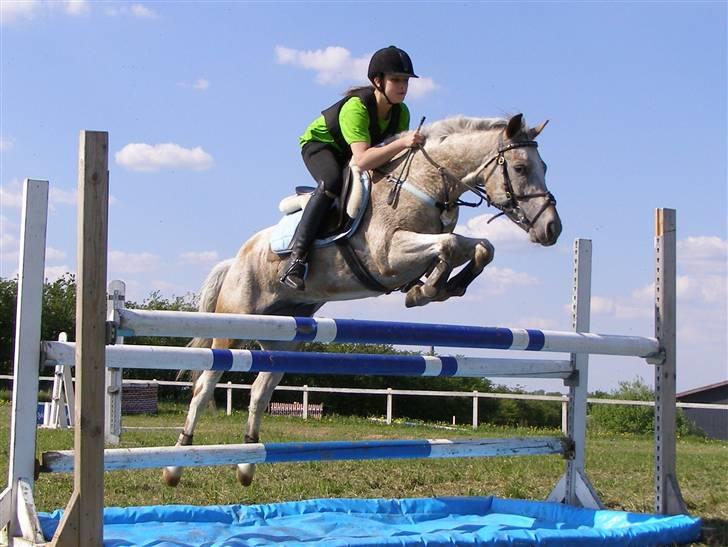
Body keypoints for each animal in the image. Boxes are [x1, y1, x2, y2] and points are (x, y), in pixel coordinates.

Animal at [164, 112, 564, 488]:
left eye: (544, 167)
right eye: (520, 168)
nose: (552, 229)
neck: (425, 184)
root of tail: (235, 260)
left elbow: (481, 247)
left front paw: (440, 286)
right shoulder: (388, 255)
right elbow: (449, 245)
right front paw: (425, 290)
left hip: (284, 336)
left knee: (260, 391)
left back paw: (246, 465)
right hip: (232, 327)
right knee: (204, 387)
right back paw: (175, 464)